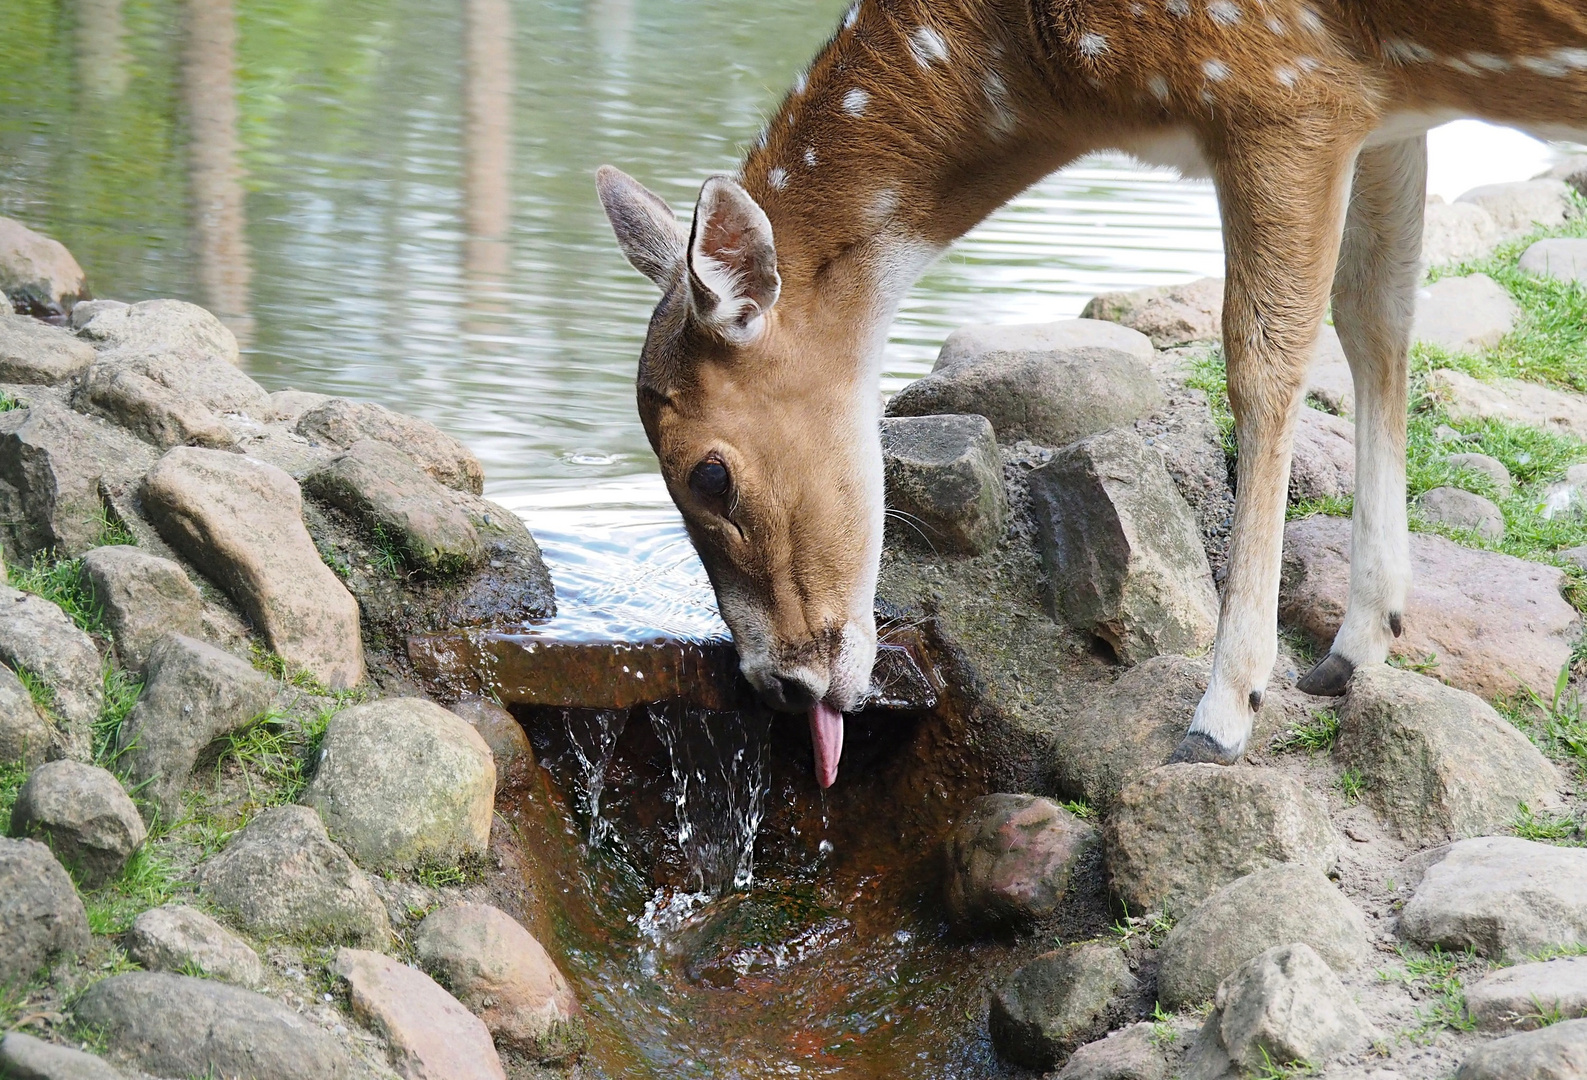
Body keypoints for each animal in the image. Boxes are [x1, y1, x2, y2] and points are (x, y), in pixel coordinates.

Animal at [596, 2, 1587, 792]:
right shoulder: (1383, 110)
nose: (781, 685)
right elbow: (1378, 314)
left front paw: (1222, 714)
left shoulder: (1285, 89)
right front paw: (1357, 645)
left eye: (710, 474)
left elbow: (1263, 356)